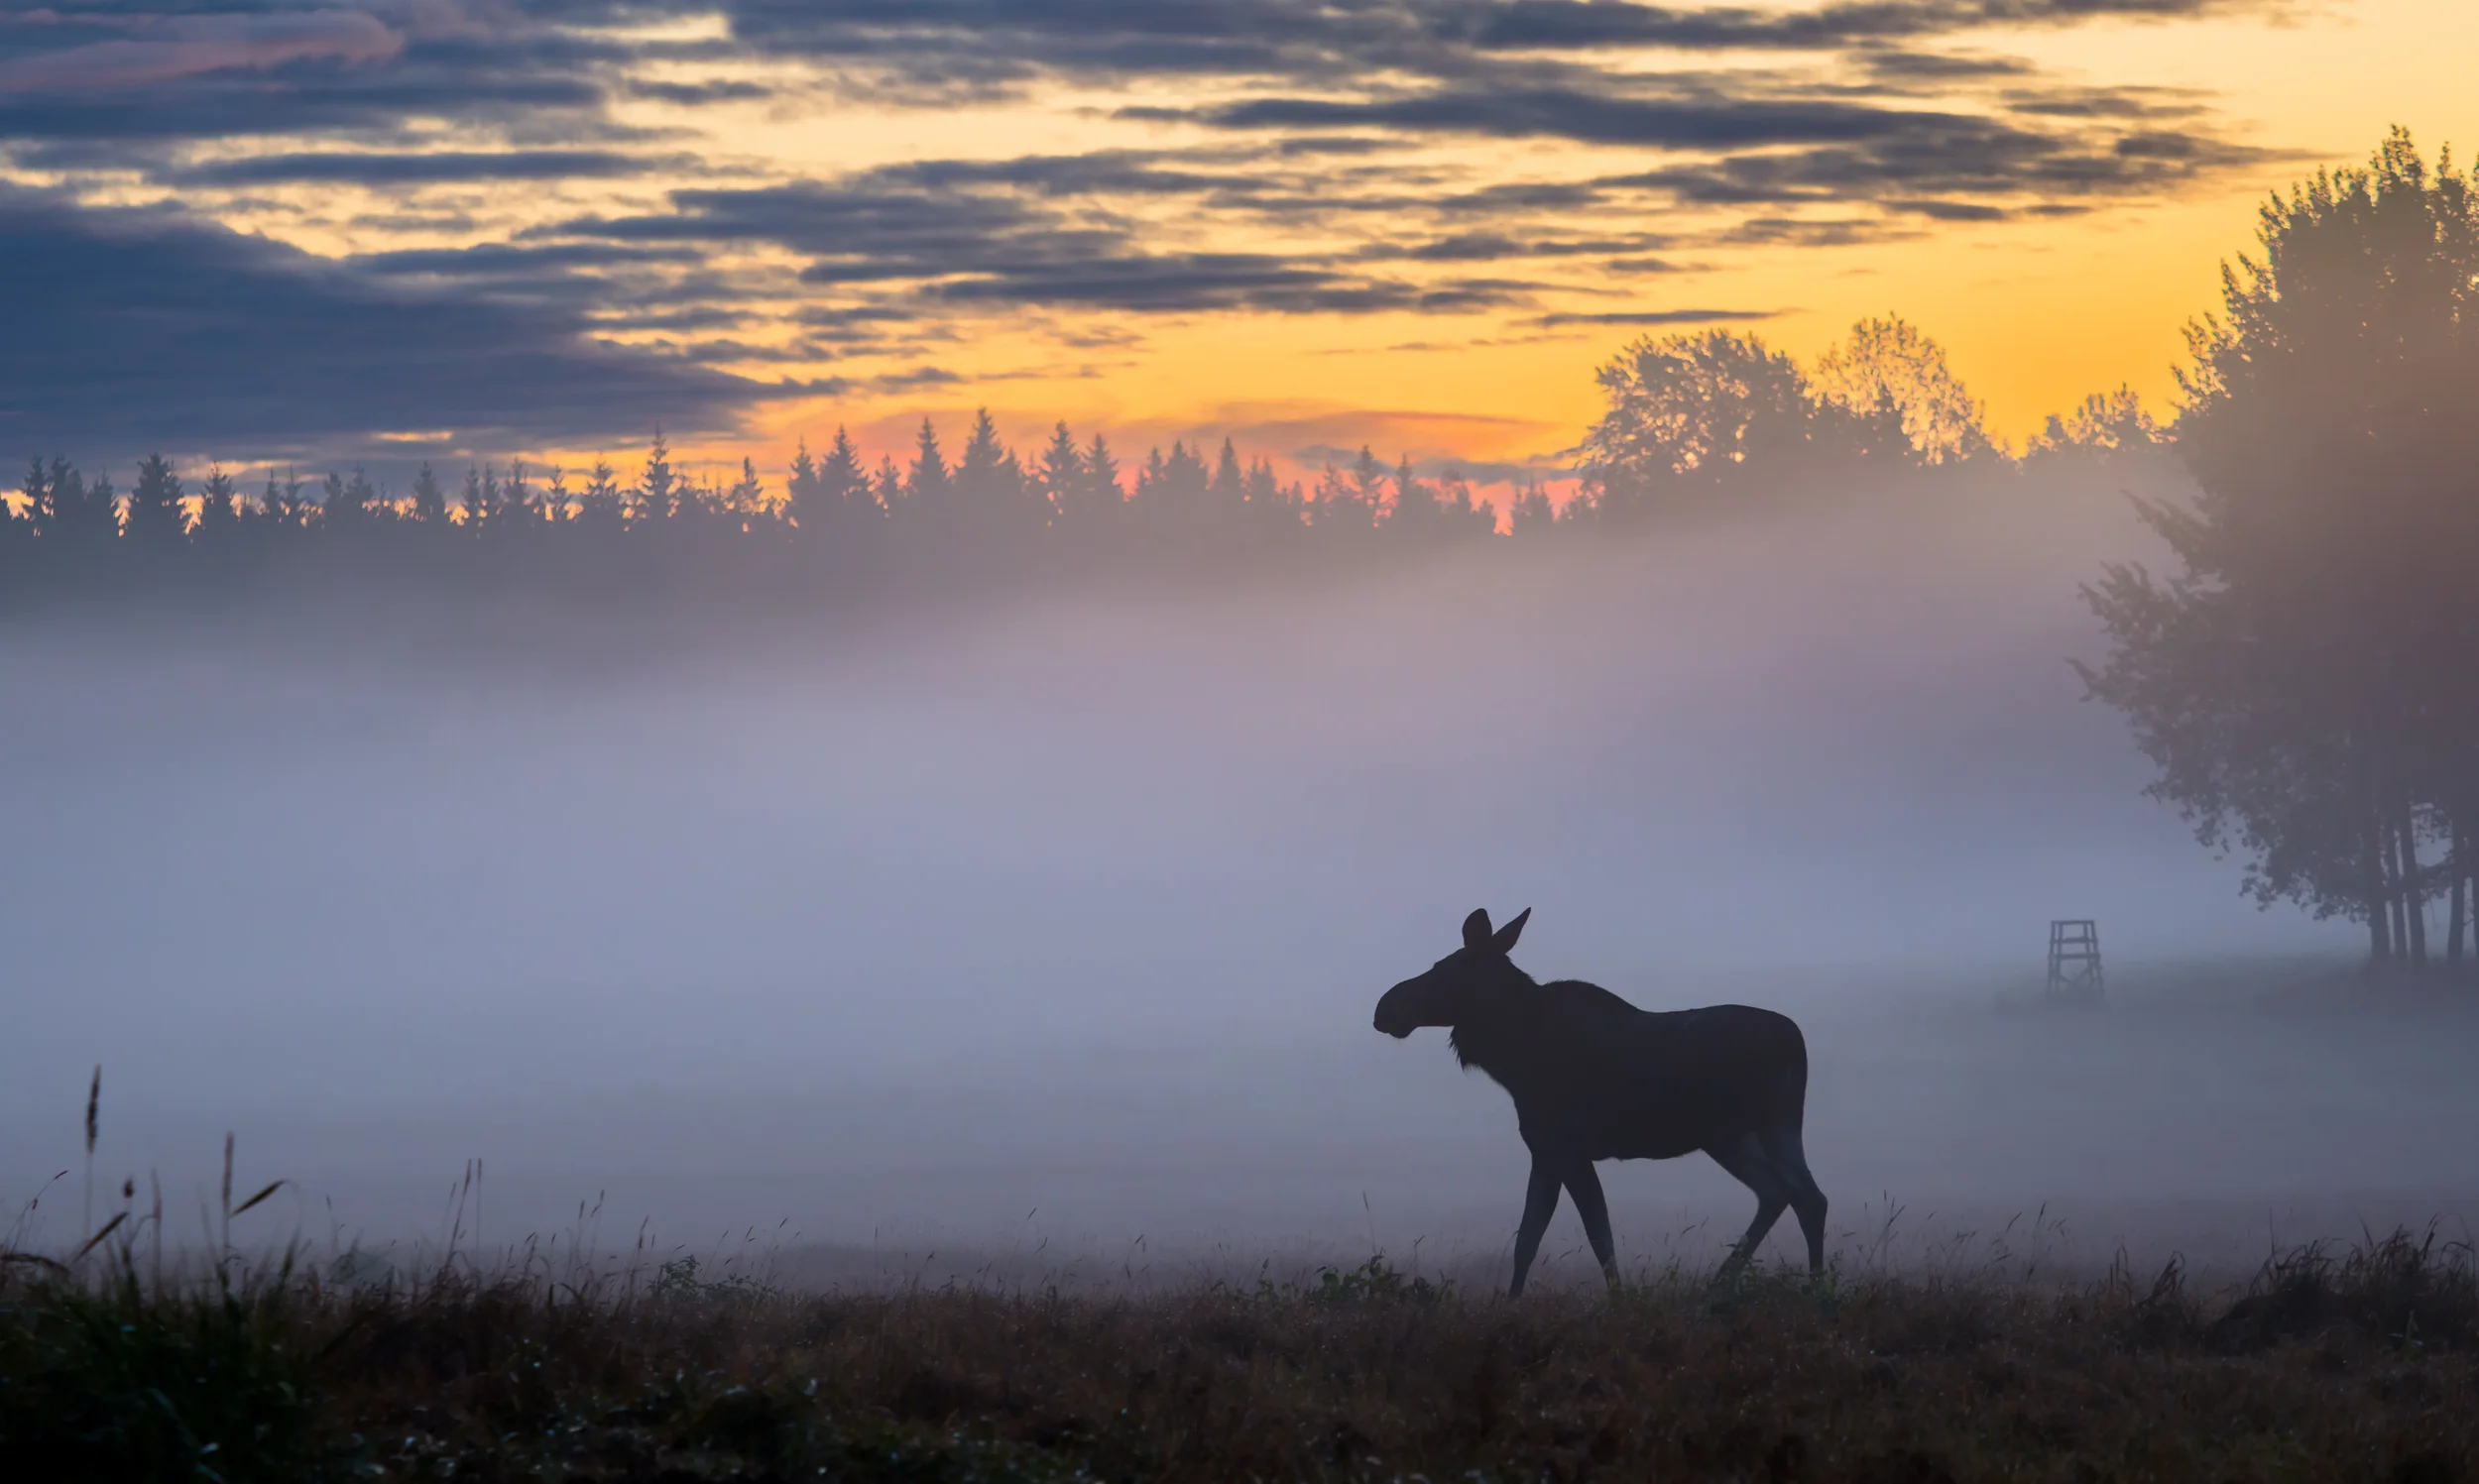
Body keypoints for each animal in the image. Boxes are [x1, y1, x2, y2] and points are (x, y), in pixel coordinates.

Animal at [1373, 908, 1827, 1297]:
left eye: (1443, 968)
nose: (1385, 1008)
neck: (1513, 1058)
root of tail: (1799, 1044)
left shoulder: (1567, 1150)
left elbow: (1590, 1237)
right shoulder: (1549, 1152)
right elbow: (1536, 1239)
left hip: (1757, 1127)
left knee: (1804, 1196)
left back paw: (1813, 1291)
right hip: (1738, 1136)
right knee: (1784, 1193)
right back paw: (1721, 1287)